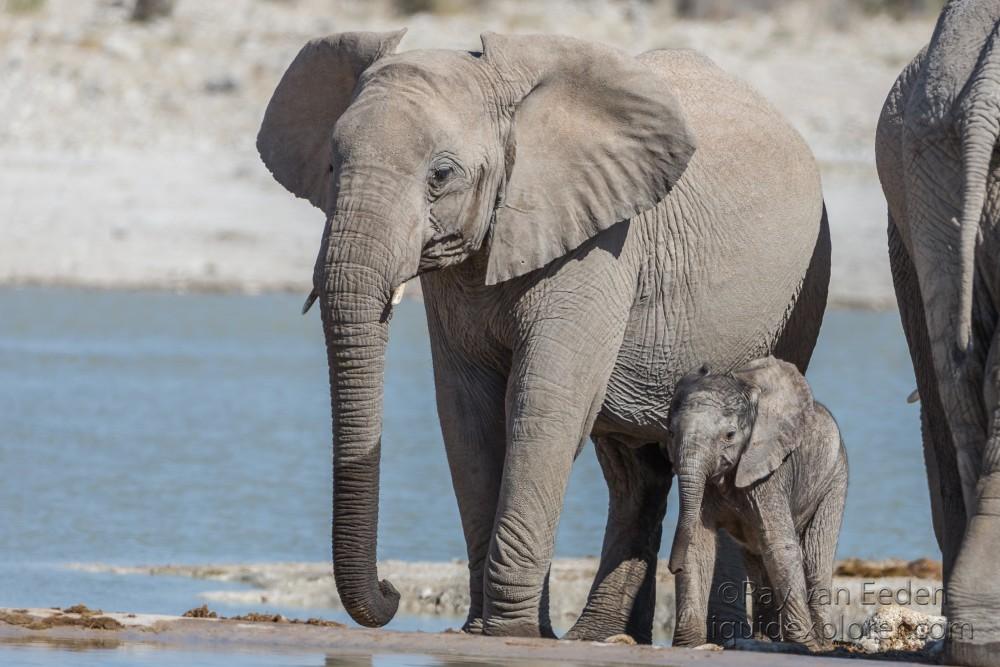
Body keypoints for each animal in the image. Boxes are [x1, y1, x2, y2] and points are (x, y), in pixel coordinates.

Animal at [256, 30, 828, 640]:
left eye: (441, 175)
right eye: (331, 163)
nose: (392, 591)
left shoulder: (600, 242)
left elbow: (543, 405)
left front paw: (510, 632)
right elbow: (468, 416)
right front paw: (483, 630)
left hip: (803, 287)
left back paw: (716, 640)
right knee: (633, 474)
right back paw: (600, 636)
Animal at [668, 358, 848, 648]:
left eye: (730, 435)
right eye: (671, 433)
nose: (673, 566)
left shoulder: (770, 473)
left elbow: (781, 548)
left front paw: (805, 646)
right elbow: (697, 544)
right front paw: (688, 646)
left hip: (834, 478)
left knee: (815, 559)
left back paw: (822, 645)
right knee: (759, 565)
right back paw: (765, 641)